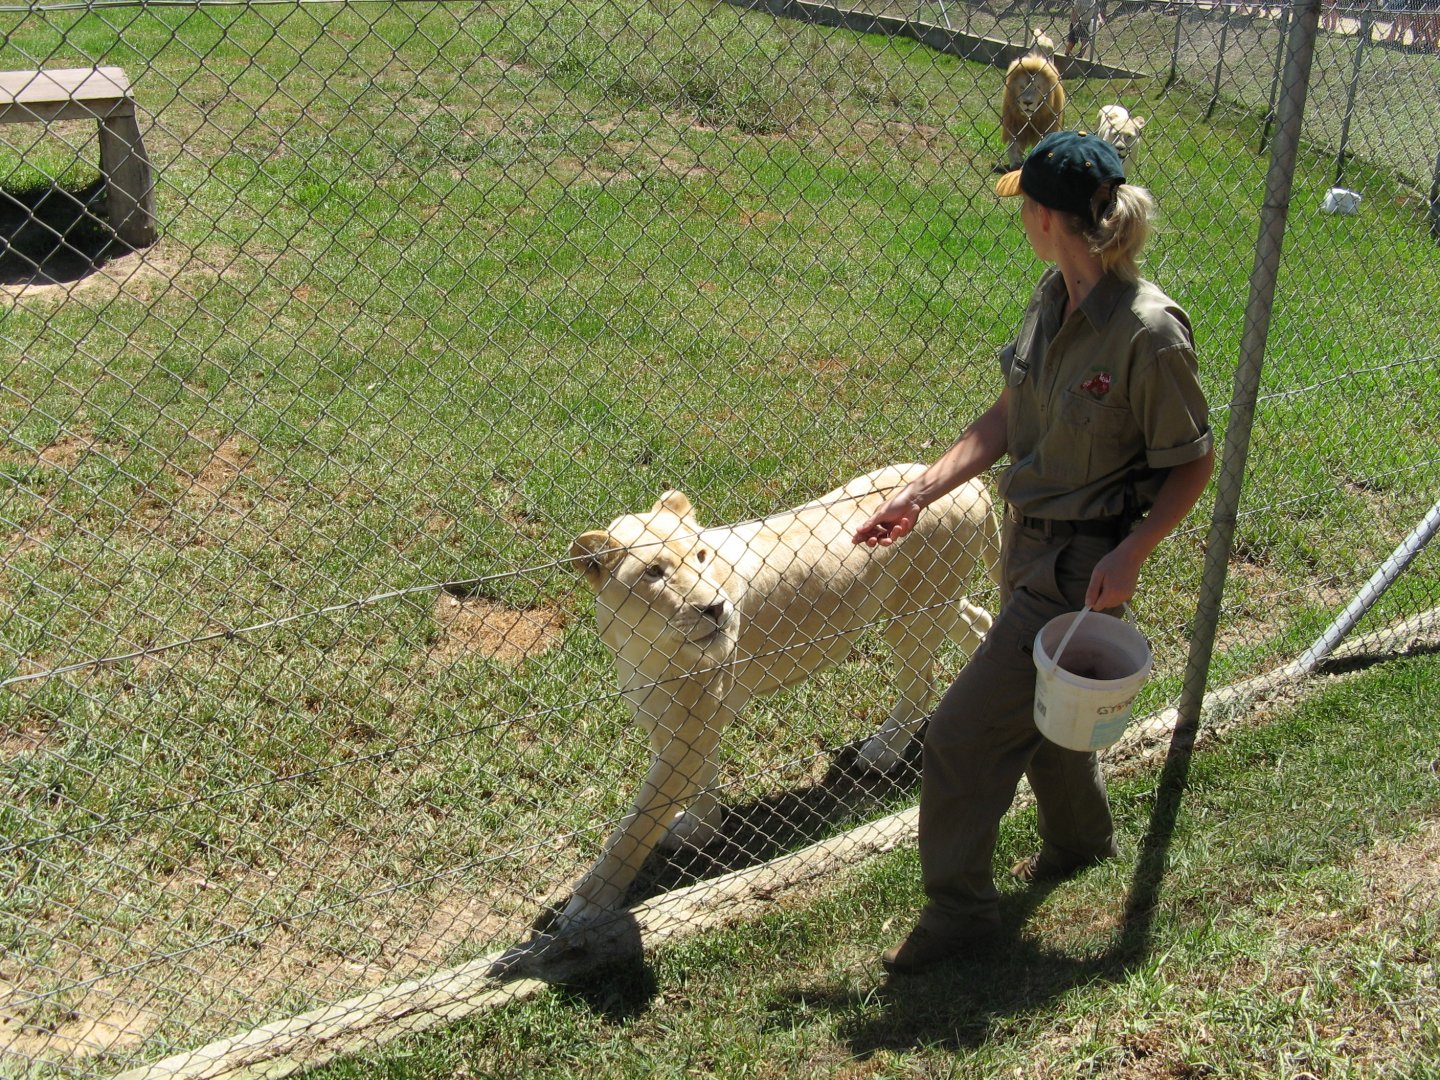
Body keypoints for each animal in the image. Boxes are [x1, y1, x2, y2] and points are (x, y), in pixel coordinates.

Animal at [554, 464, 1001, 933]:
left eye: (701, 556)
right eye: (654, 572)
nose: (716, 608)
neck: (645, 644)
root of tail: (972, 484)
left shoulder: (687, 732)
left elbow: (636, 825)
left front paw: (588, 905)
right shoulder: (670, 720)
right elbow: (701, 783)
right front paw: (701, 831)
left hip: (914, 612)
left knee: (921, 683)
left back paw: (882, 753)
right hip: (938, 605)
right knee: (980, 621)